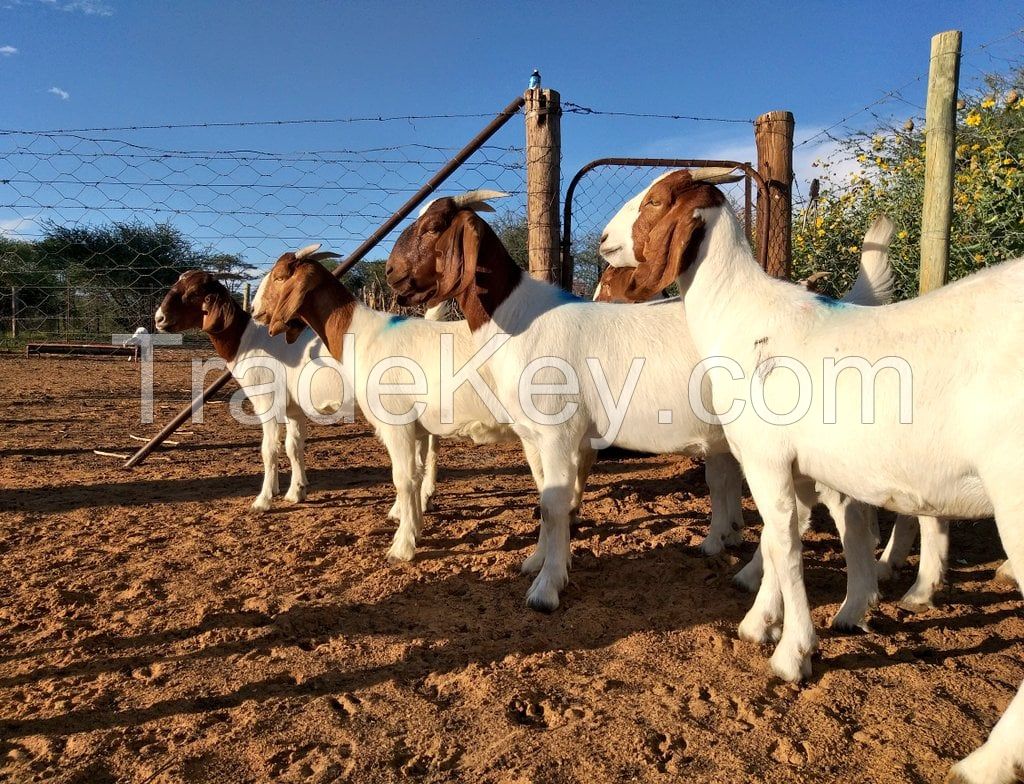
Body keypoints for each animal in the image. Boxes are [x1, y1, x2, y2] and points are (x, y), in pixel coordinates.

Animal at [598, 168, 1024, 781]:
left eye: (655, 201)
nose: (604, 241)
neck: (746, 321)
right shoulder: (797, 468)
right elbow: (785, 539)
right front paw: (762, 622)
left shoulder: (765, 457)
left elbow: (784, 546)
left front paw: (792, 653)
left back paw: (985, 760)